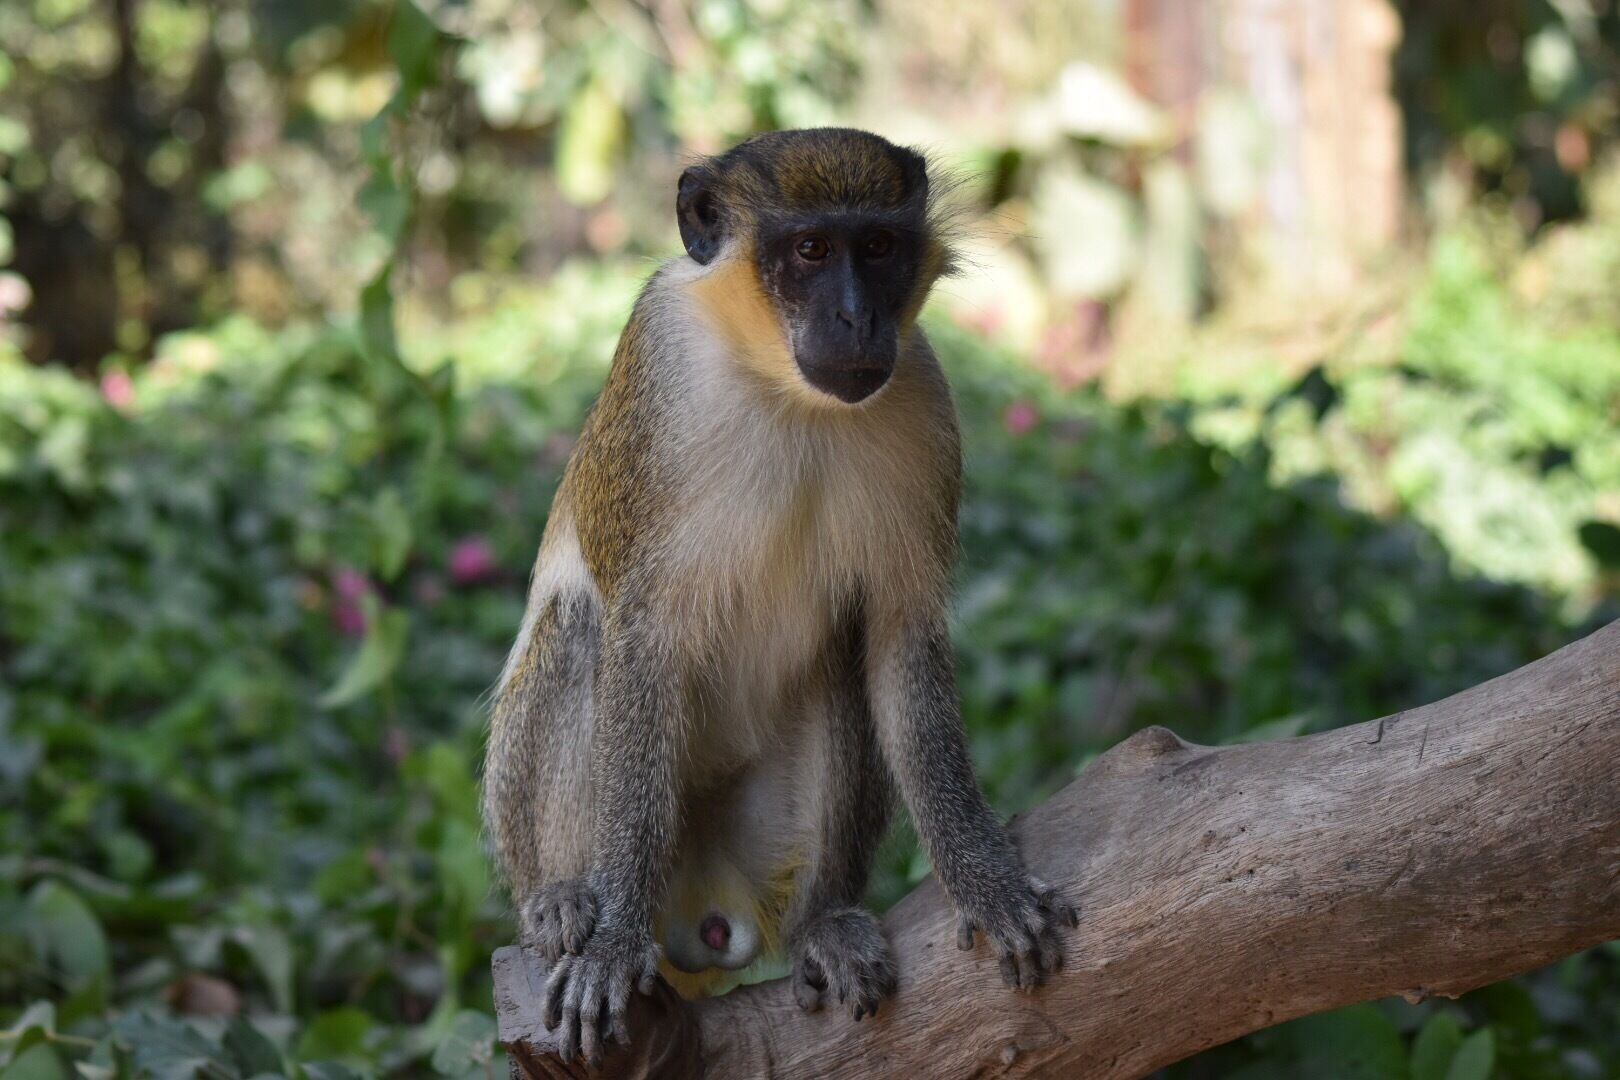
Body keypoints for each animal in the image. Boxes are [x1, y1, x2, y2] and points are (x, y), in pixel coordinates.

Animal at [482, 127, 1078, 1066]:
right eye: (810, 251)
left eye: (878, 247)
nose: (857, 318)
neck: (780, 384)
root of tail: (700, 906)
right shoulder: (659, 365)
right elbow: (641, 638)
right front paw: (609, 944)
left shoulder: (923, 395)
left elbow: (897, 641)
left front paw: (987, 882)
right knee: (579, 633)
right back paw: (565, 902)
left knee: (841, 665)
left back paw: (819, 923)